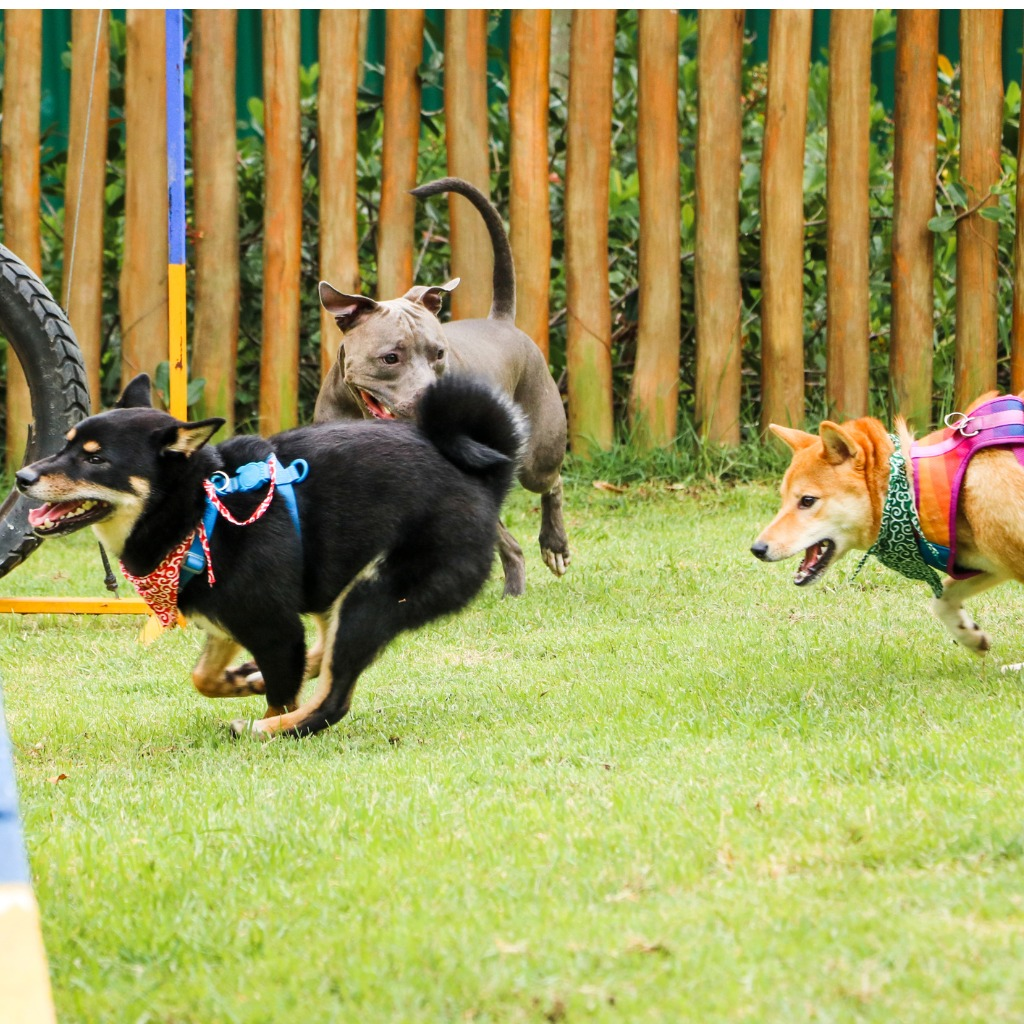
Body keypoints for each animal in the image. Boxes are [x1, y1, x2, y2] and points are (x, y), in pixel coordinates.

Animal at [16, 372, 528, 741]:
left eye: (96, 459)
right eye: (66, 444)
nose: (22, 477)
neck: (197, 510)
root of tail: (484, 482)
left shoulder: (274, 628)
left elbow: (281, 691)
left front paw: (264, 708)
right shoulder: (225, 622)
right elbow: (202, 676)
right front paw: (242, 681)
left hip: (371, 599)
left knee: (332, 703)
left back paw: (269, 730)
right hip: (334, 589)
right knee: (322, 656)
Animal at [313, 173, 569, 598]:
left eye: (439, 354)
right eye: (390, 358)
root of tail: (502, 322)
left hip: (537, 452)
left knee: (550, 482)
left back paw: (553, 546)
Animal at [753, 401, 1024, 651]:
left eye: (807, 501)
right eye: (783, 498)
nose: (756, 549)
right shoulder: (991, 566)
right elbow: (942, 600)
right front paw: (972, 637)